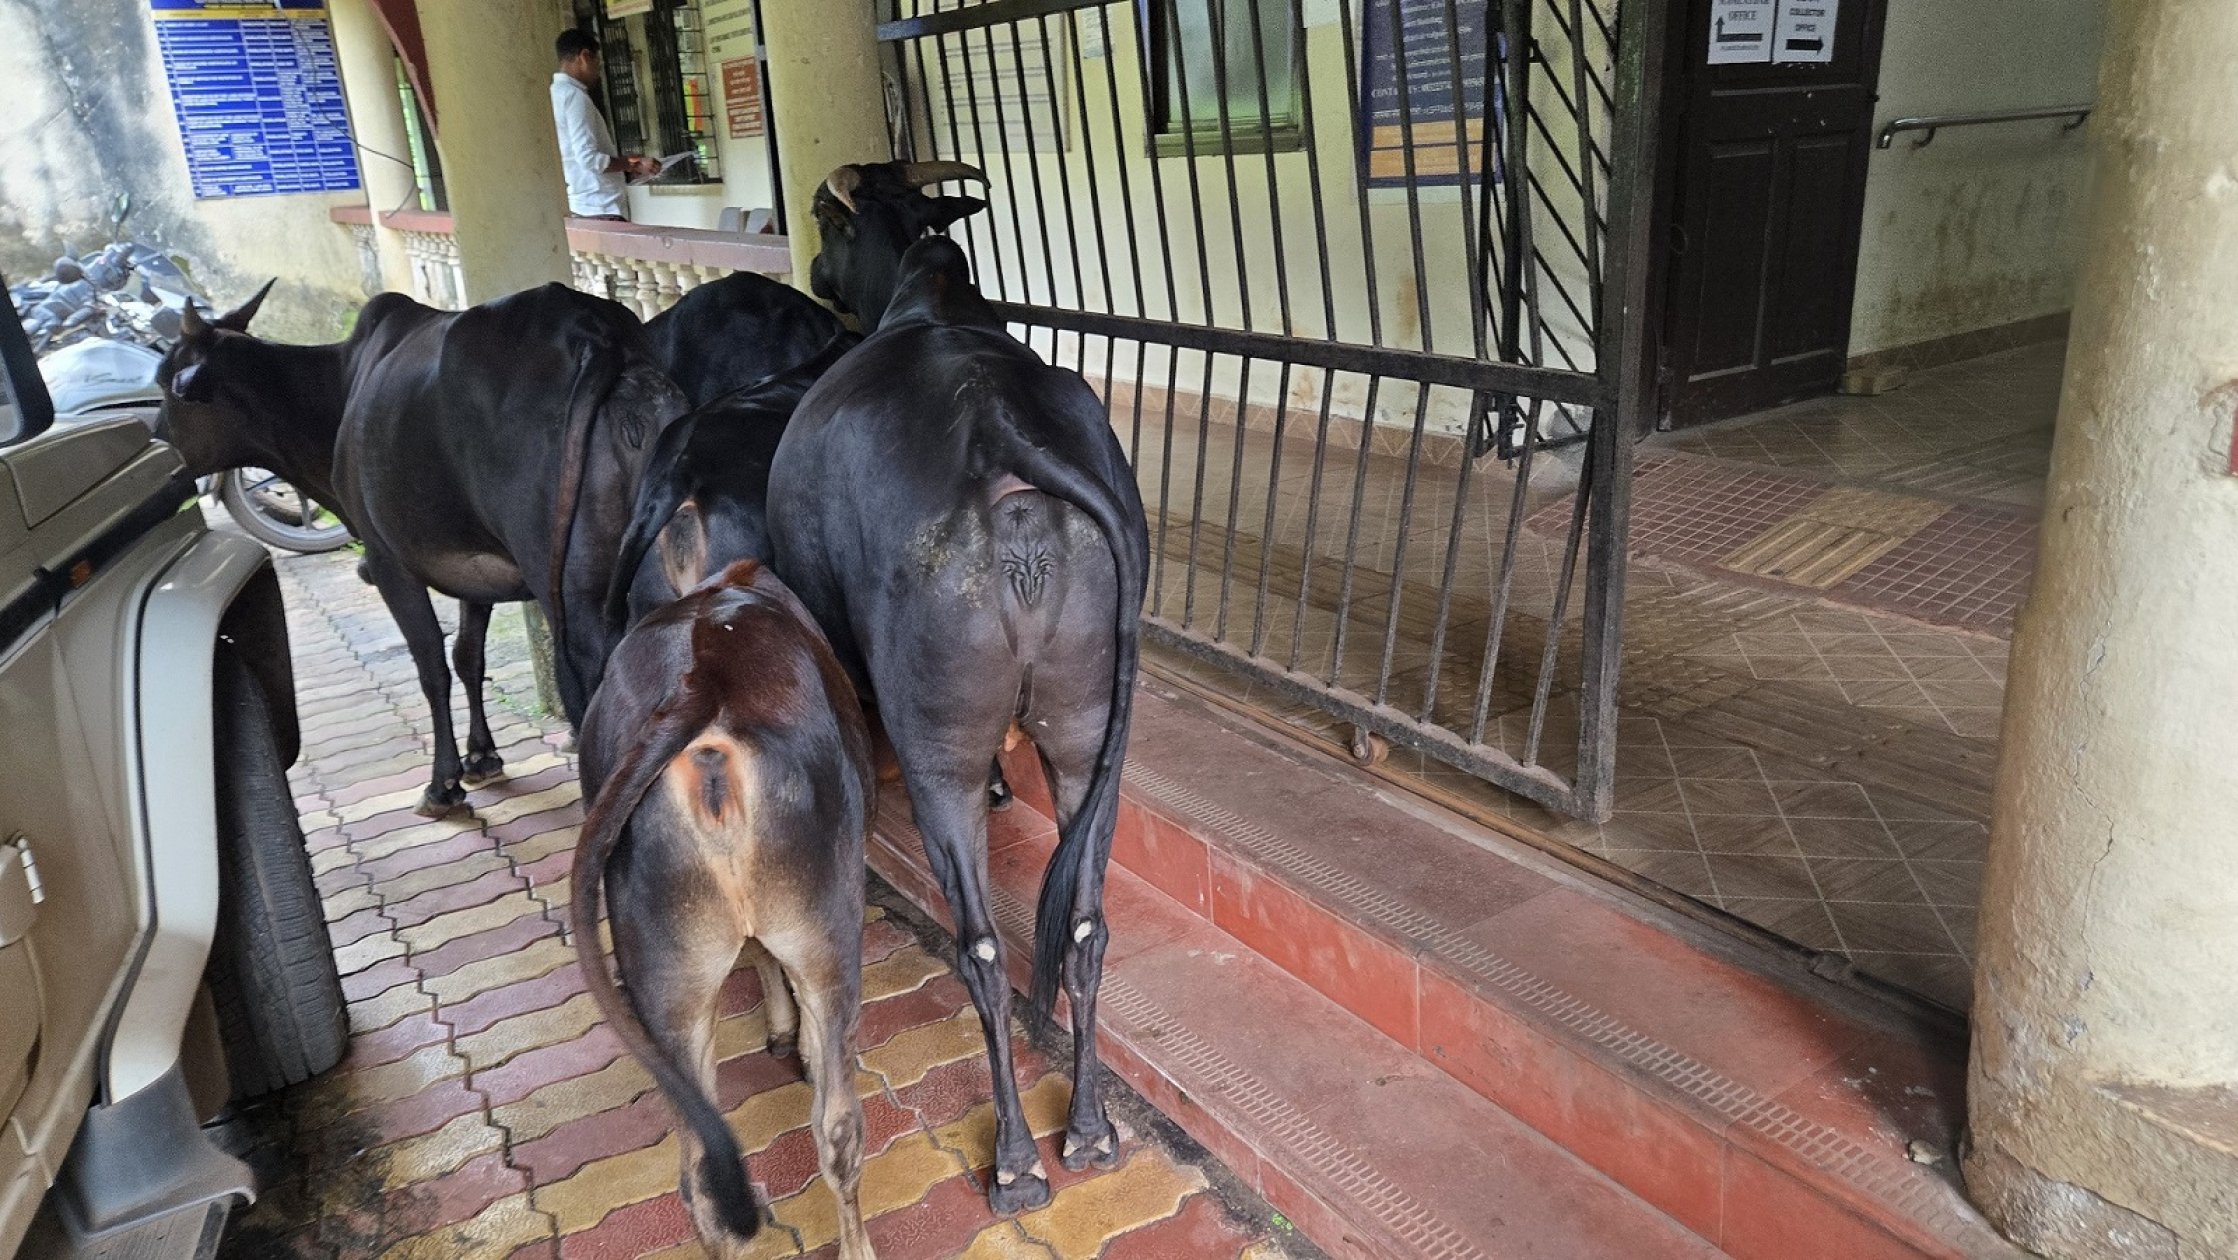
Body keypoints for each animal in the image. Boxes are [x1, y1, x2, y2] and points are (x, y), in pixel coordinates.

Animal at [155, 282, 687, 816]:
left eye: (165, 384)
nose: (157, 444)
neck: (339, 388)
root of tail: (595, 334)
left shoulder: (387, 560)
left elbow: (431, 664)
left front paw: (442, 784)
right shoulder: (477, 567)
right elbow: (468, 655)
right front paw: (481, 756)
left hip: (572, 593)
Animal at [573, 558, 876, 1260]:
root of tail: (701, 686)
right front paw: (794, 1040)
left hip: (666, 980)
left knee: (701, 1182)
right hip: (829, 935)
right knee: (838, 1129)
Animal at [766, 160, 1149, 1213]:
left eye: (825, 223)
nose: (814, 273)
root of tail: (1001, 446)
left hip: (940, 744)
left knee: (980, 948)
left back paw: (1018, 1160)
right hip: (1092, 730)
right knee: (1087, 926)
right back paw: (1090, 1131)